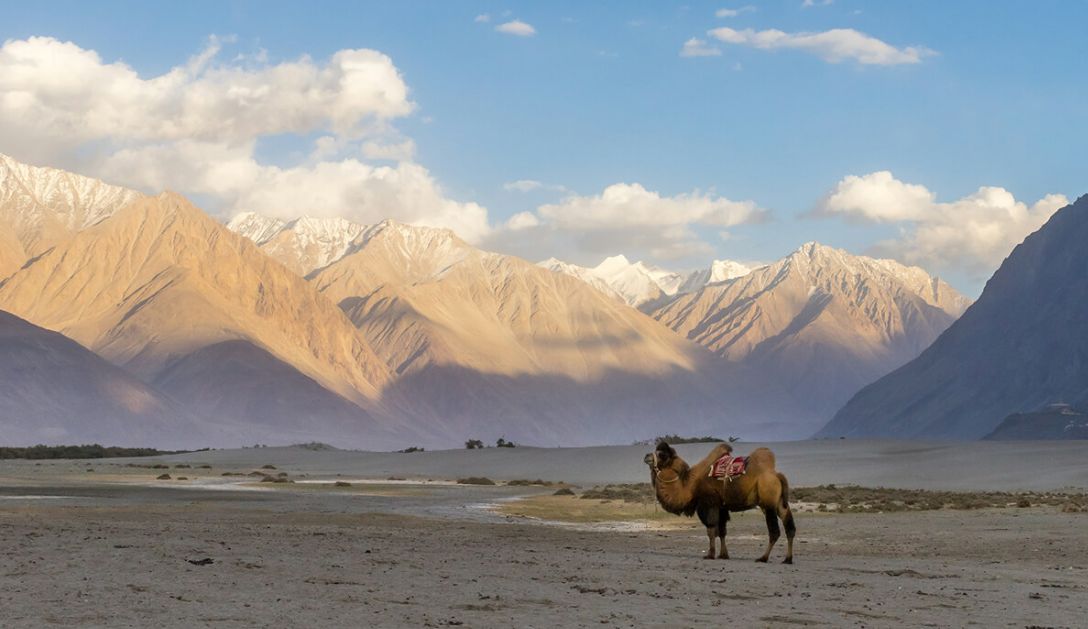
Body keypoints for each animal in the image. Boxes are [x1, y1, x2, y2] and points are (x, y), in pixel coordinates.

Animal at [644, 441, 795, 563]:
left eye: (662, 454)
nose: (646, 456)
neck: (690, 486)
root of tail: (777, 475)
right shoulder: (722, 507)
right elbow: (722, 531)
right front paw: (723, 555)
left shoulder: (708, 503)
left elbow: (711, 530)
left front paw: (710, 555)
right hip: (780, 503)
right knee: (789, 527)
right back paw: (787, 559)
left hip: (768, 501)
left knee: (774, 531)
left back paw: (763, 558)